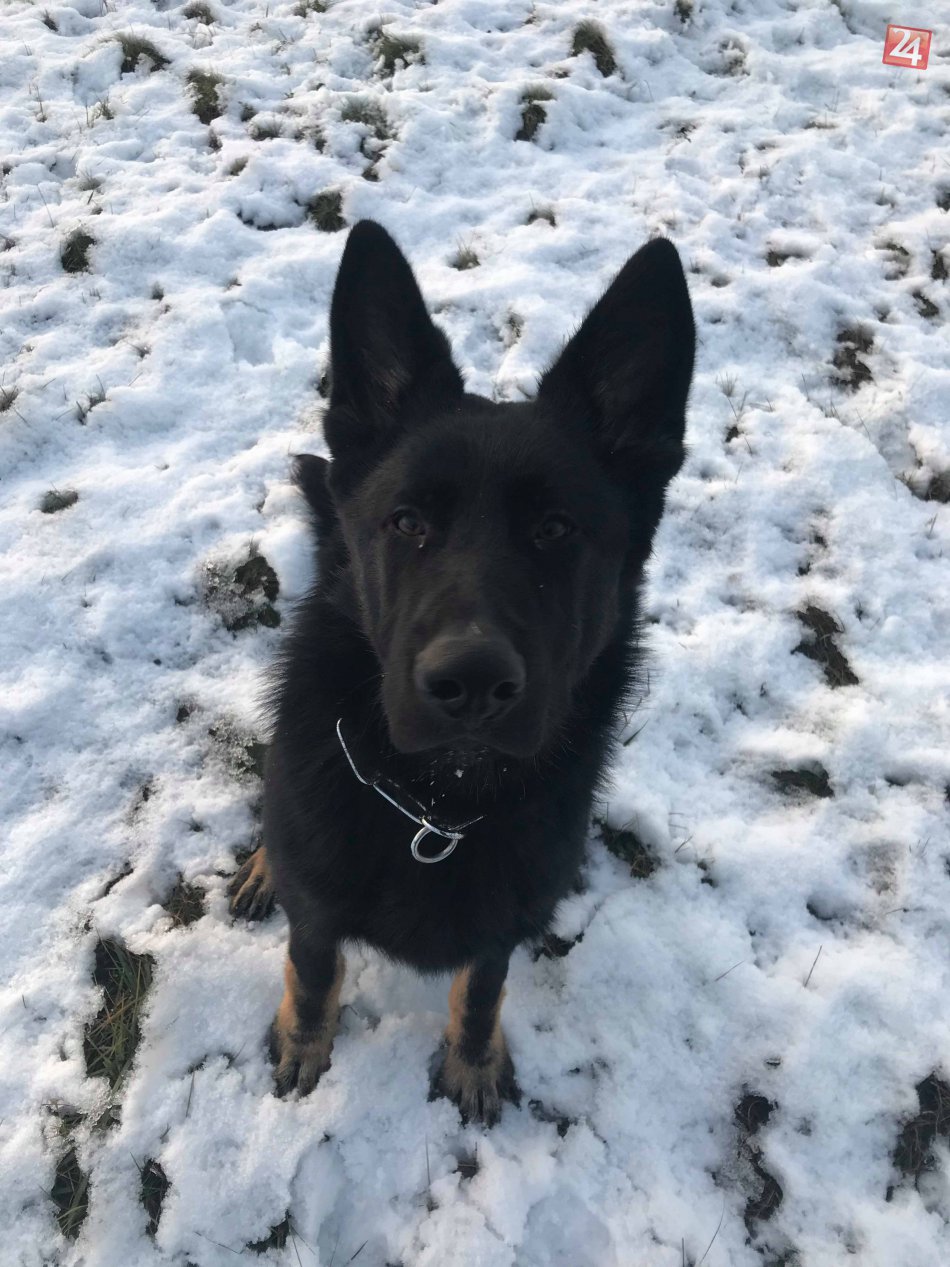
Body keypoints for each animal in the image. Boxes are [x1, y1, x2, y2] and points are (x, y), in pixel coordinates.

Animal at [228, 220, 695, 1124]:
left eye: (555, 528)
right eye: (407, 521)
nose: (470, 684)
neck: (435, 809)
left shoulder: (501, 923)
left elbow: (481, 991)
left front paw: (472, 1063)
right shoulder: (320, 910)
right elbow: (313, 970)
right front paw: (304, 1042)